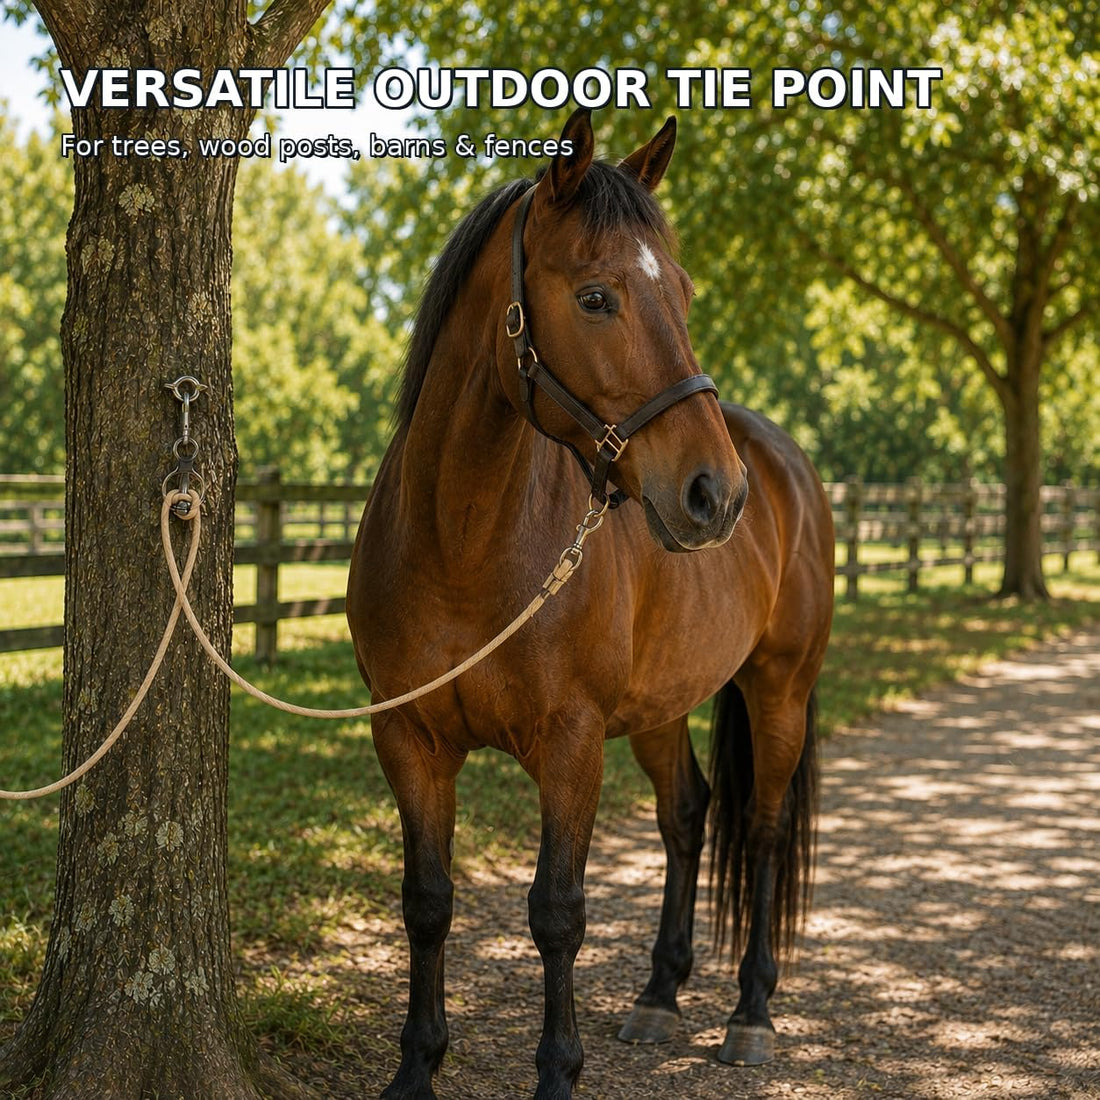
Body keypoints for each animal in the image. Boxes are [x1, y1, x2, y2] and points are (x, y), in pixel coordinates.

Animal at [347, 108, 835, 1100]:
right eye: (598, 297)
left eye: (682, 292)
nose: (714, 494)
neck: (461, 544)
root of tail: (782, 464)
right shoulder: (407, 739)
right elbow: (427, 903)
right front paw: (417, 1065)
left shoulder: (570, 746)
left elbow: (557, 914)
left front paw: (556, 1073)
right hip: (662, 706)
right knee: (687, 815)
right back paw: (658, 995)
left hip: (780, 692)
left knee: (762, 831)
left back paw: (751, 1013)